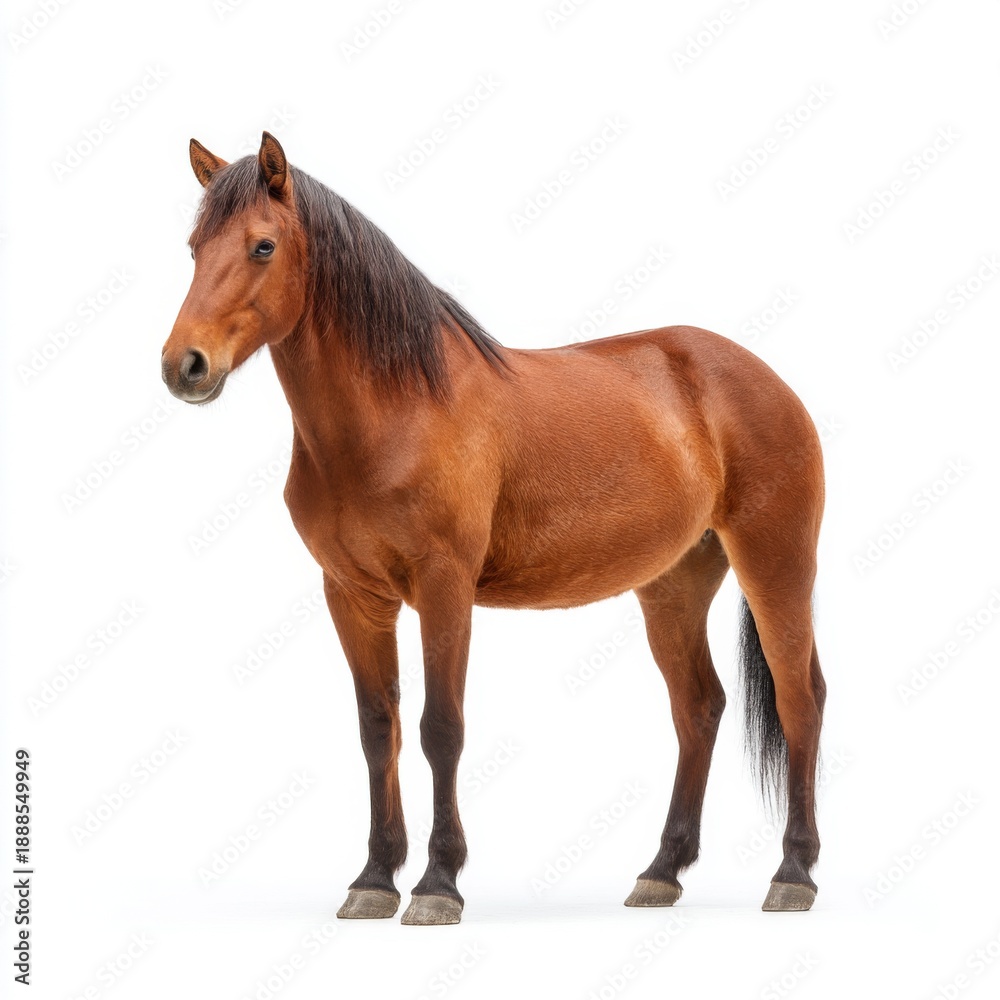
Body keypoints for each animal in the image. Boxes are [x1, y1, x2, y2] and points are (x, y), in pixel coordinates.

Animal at [162, 132, 827, 925]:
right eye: (194, 247)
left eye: (262, 246)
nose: (184, 365)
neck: (397, 412)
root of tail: (762, 376)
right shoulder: (352, 595)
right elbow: (377, 729)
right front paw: (373, 879)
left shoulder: (445, 587)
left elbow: (439, 728)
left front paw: (437, 883)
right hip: (674, 585)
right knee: (699, 707)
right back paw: (661, 872)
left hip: (776, 564)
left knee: (799, 700)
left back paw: (794, 873)